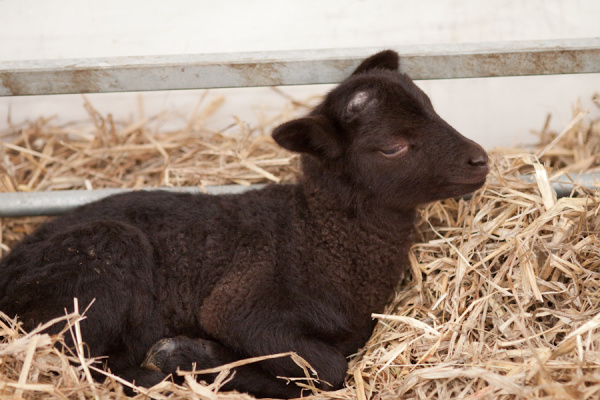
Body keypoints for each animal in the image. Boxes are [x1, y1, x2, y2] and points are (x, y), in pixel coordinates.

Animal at [0, 51, 488, 398]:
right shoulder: (240, 303)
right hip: (101, 258)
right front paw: (188, 355)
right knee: (85, 363)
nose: (480, 160)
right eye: (391, 147)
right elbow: (329, 368)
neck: (317, 233)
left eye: (431, 106)